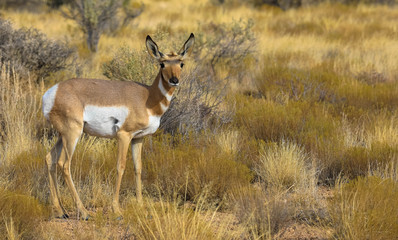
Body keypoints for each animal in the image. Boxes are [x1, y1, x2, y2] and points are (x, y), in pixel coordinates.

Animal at [41, 33, 194, 219]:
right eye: (162, 63)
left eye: (181, 63)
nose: (174, 80)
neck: (148, 97)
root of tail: (53, 91)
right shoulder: (124, 136)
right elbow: (120, 167)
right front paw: (116, 208)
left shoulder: (138, 139)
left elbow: (138, 168)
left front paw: (140, 205)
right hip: (72, 134)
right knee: (64, 164)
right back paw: (83, 212)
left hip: (62, 135)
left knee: (50, 158)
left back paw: (60, 210)